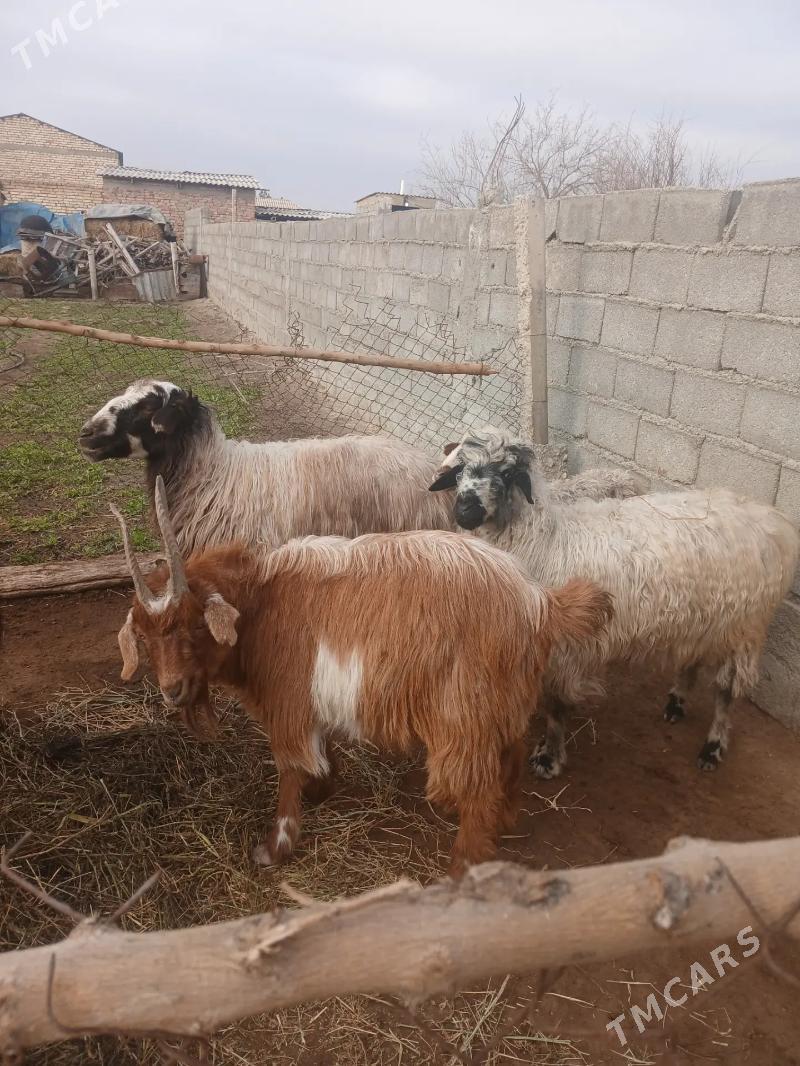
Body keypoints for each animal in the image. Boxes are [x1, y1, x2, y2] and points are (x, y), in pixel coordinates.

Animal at [110, 476, 612, 875]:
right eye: (144, 636)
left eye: (195, 624)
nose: (172, 690)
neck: (263, 600)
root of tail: (537, 602)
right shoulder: (311, 701)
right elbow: (319, 750)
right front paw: (323, 786)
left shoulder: (289, 702)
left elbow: (289, 771)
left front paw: (275, 848)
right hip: (501, 706)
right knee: (509, 761)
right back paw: (502, 823)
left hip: (463, 716)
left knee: (477, 787)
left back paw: (462, 867)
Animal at [429, 429, 799, 776]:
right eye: (459, 469)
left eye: (506, 473)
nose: (465, 511)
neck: (547, 541)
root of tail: (772, 517)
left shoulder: (565, 648)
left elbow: (556, 707)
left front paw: (549, 757)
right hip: (704, 615)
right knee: (692, 656)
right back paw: (676, 704)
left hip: (745, 628)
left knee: (726, 692)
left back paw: (712, 747)